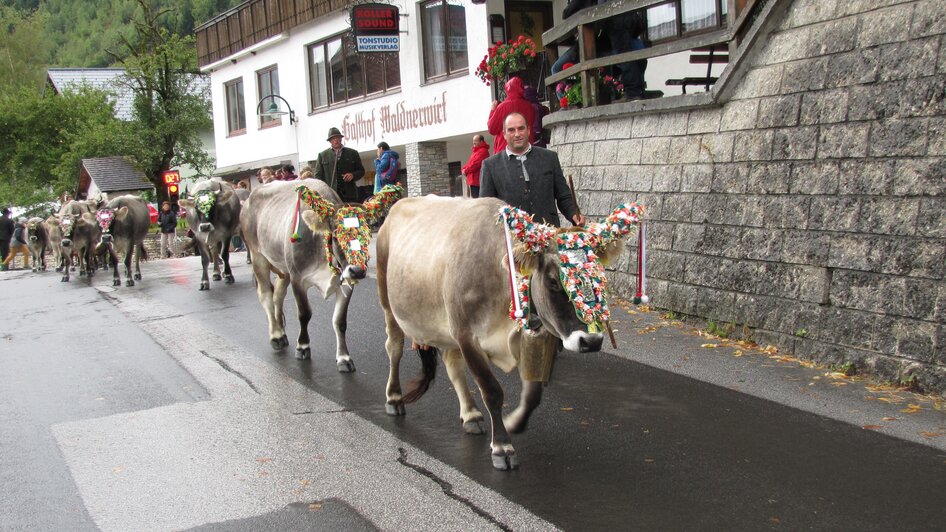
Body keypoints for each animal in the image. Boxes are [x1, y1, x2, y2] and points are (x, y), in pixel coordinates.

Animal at [240, 178, 398, 366]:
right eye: (336, 236)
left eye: (368, 236)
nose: (358, 270)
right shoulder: (297, 279)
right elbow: (304, 314)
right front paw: (302, 347)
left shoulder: (346, 282)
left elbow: (340, 321)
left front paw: (343, 358)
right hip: (258, 256)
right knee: (265, 295)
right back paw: (276, 336)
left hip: (282, 267)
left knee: (277, 294)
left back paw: (281, 332)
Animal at [372, 195, 636, 470]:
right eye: (553, 281)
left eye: (601, 279)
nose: (591, 341)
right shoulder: (467, 337)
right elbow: (492, 391)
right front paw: (502, 447)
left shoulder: (529, 338)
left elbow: (533, 394)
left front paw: (513, 423)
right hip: (388, 302)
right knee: (394, 348)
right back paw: (394, 398)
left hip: (446, 325)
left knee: (452, 364)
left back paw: (471, 414)